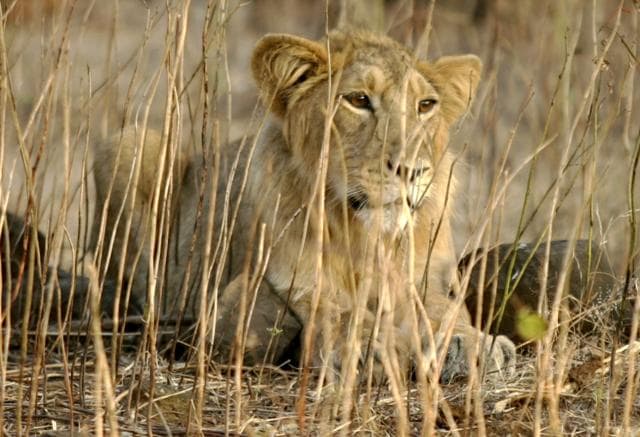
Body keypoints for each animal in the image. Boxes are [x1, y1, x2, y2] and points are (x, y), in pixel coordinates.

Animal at [92, 29, 516, 382]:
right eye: (358, 99)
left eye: (425, 105)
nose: (412, 170)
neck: (364, 234)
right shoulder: (296, 278)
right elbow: (340, 312)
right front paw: (371, 346)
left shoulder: (427, 277)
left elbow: (444, 309)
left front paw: (472, 343)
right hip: (129, 143)